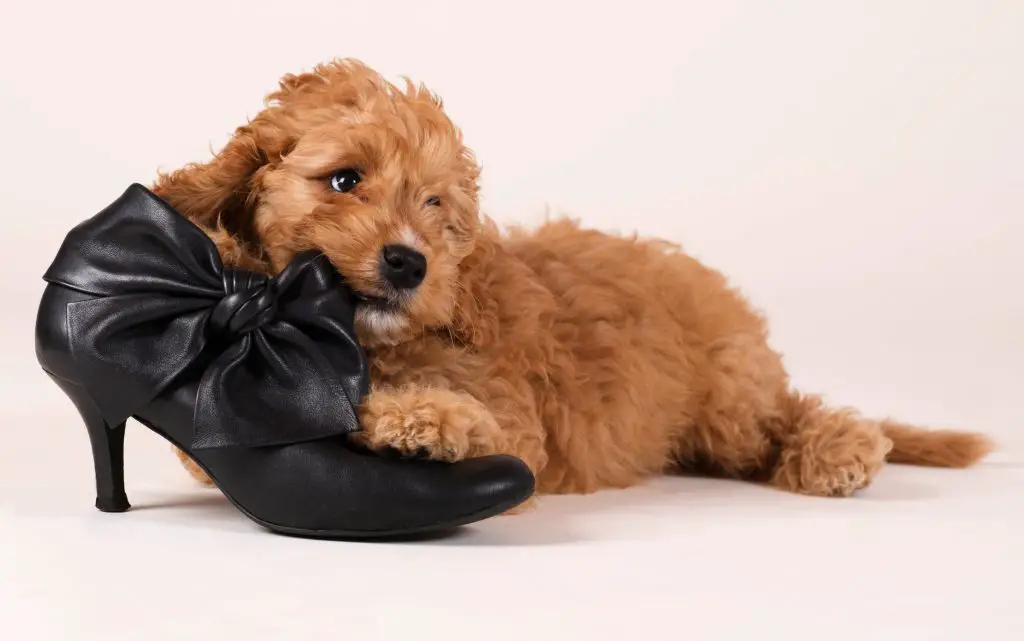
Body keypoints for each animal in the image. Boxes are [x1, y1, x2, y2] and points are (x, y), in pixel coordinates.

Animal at [157, 59, 991, 499]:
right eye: (343, 180)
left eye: (435, 206)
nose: (409, 261)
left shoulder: (514, 422)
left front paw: (419, 419)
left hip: (729, 392)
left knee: (783, 416)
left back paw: (839, 446)